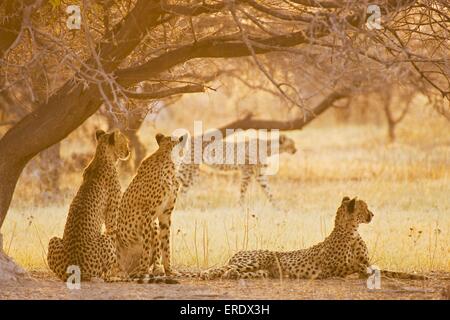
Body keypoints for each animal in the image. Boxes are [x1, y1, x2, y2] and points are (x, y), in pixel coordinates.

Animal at [46, 129, 129, 282]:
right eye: (124, 143)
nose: (128, 151)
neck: (101, 155)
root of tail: (76, 269)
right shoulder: (112, 216)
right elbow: (114, 233)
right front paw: (117, 270)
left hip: (53, 240)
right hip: (103, 240)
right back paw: (110, 276)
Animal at [115, 132, 187, 278]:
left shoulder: (165, 214)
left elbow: (165, 244)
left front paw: (169, 270)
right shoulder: (147, 215)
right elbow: (147, 246)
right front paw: (144, 270)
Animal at [179, 198, 426, 280]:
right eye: (365, 207)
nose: (372, 214)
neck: (351, 230)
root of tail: (238, 252)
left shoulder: (365, 264)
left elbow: (392, 271)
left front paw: (418, 275)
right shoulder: (347, 268)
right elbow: (374, 271)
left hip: (262, 271)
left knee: (232, 271)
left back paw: (226, 275)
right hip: (257, 260)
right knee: (222, 268)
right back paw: (207, 274)